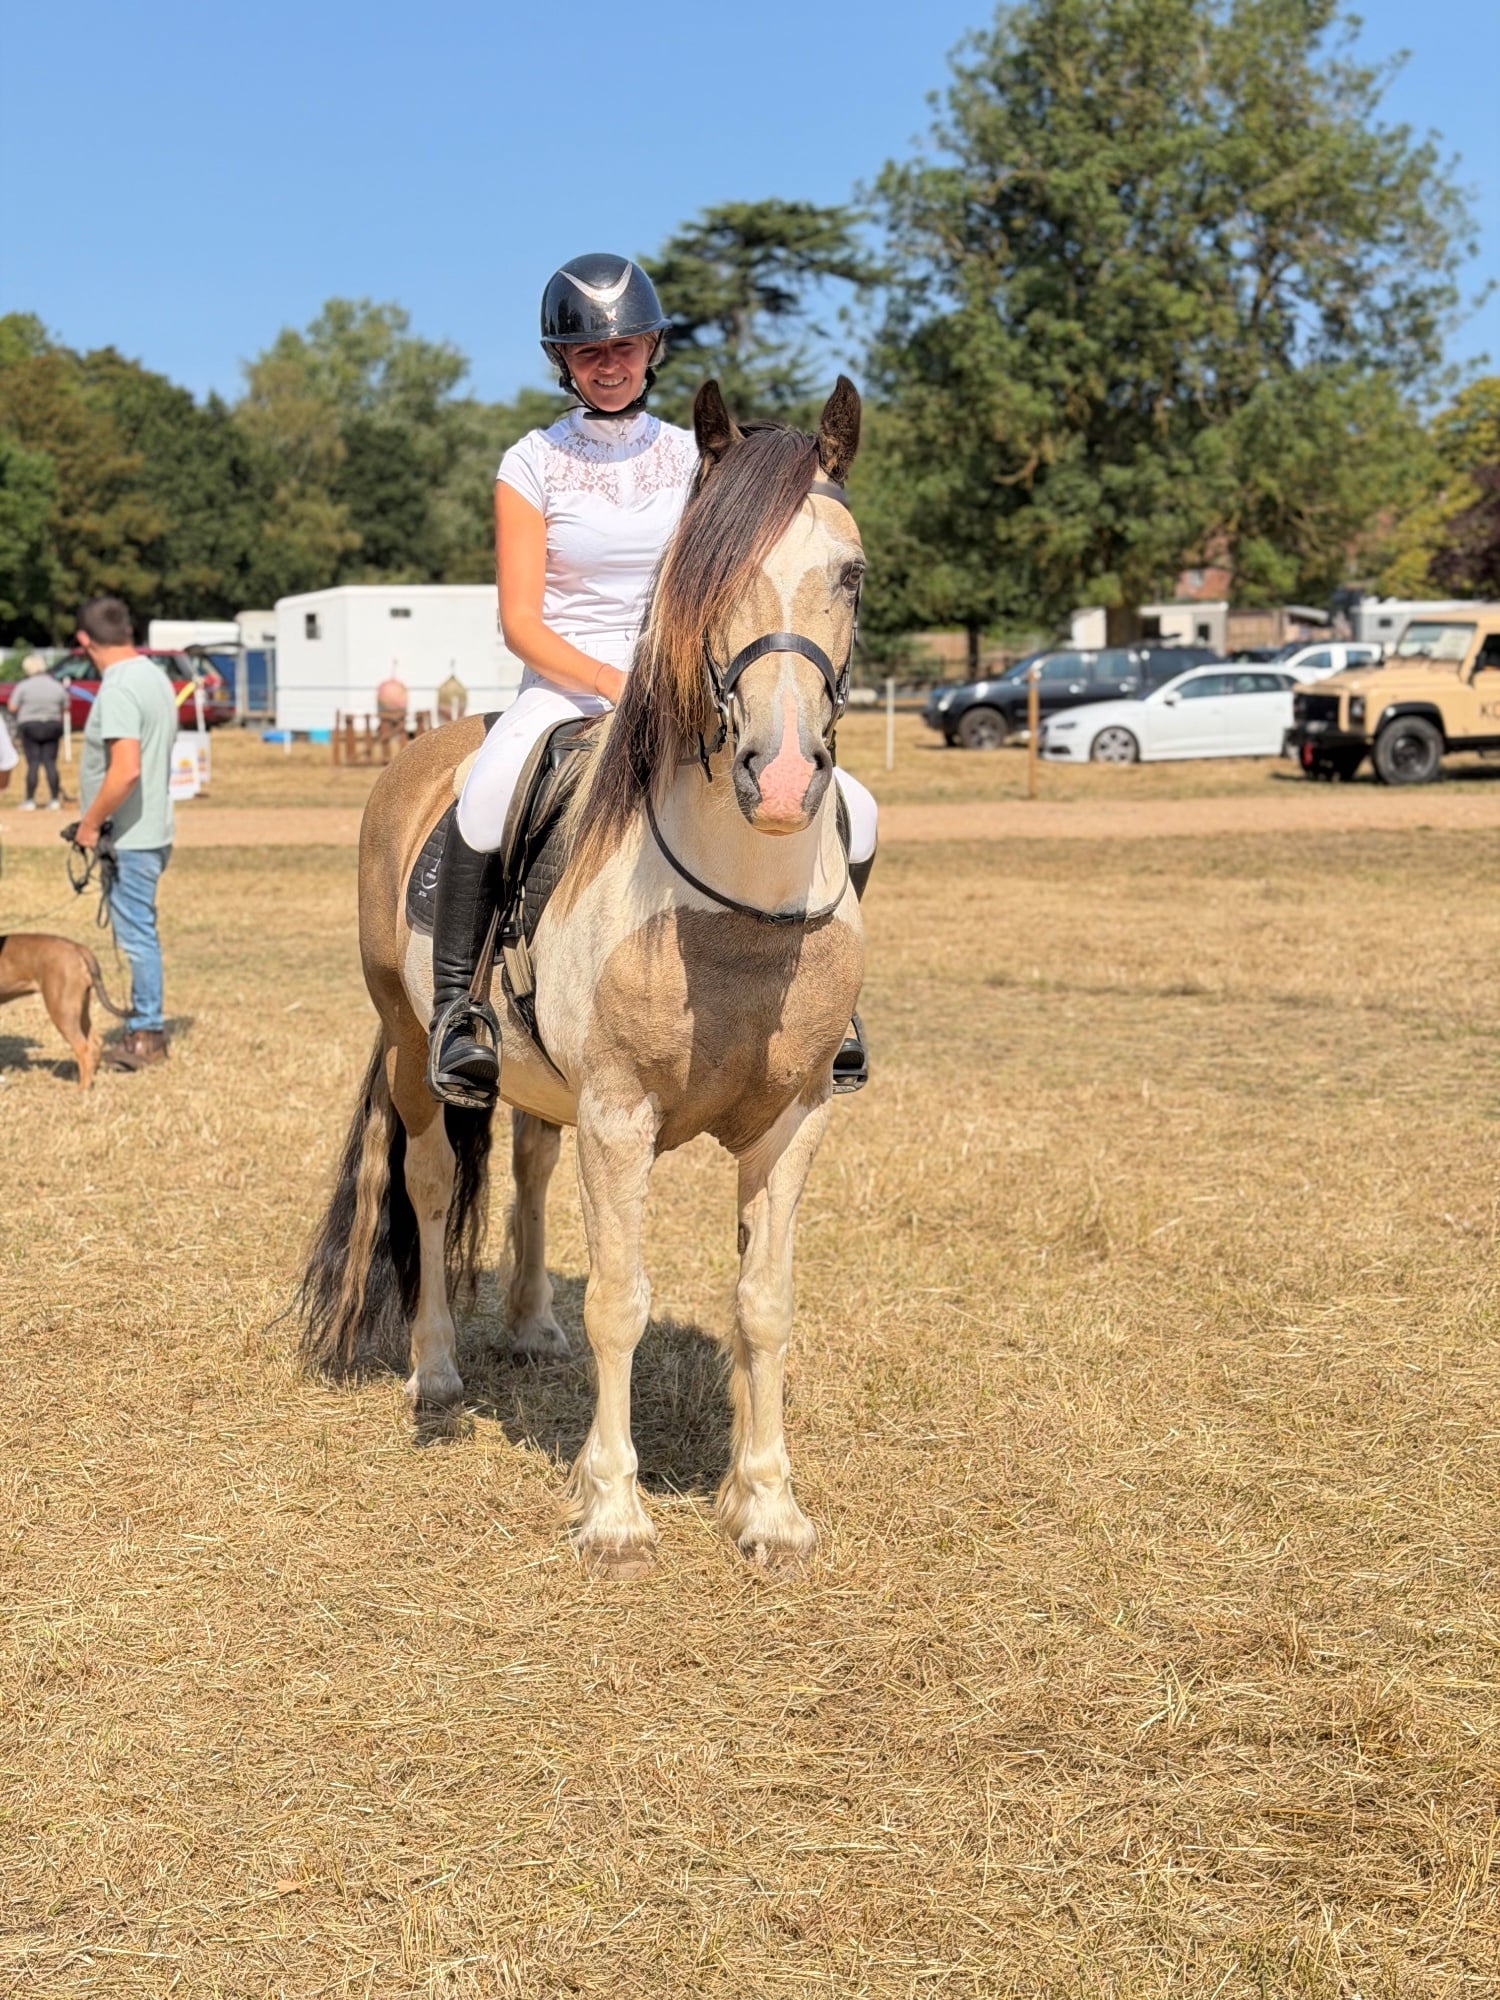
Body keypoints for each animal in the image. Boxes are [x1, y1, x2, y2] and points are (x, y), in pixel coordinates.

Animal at [296, 377, 866, 1572]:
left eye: (852, 572)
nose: (784, 777)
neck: (732, 902)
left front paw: (767, 1505)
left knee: (528, 1165)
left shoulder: (794, 1116)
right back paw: (439, 1370)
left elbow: (764, 1303)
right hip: (416, 1048)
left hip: (545, 1088)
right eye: (705, 570)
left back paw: (526, 1327)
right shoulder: (620, 1111)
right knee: (430, 1185)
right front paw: (613, 1509)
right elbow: (621, 1301)